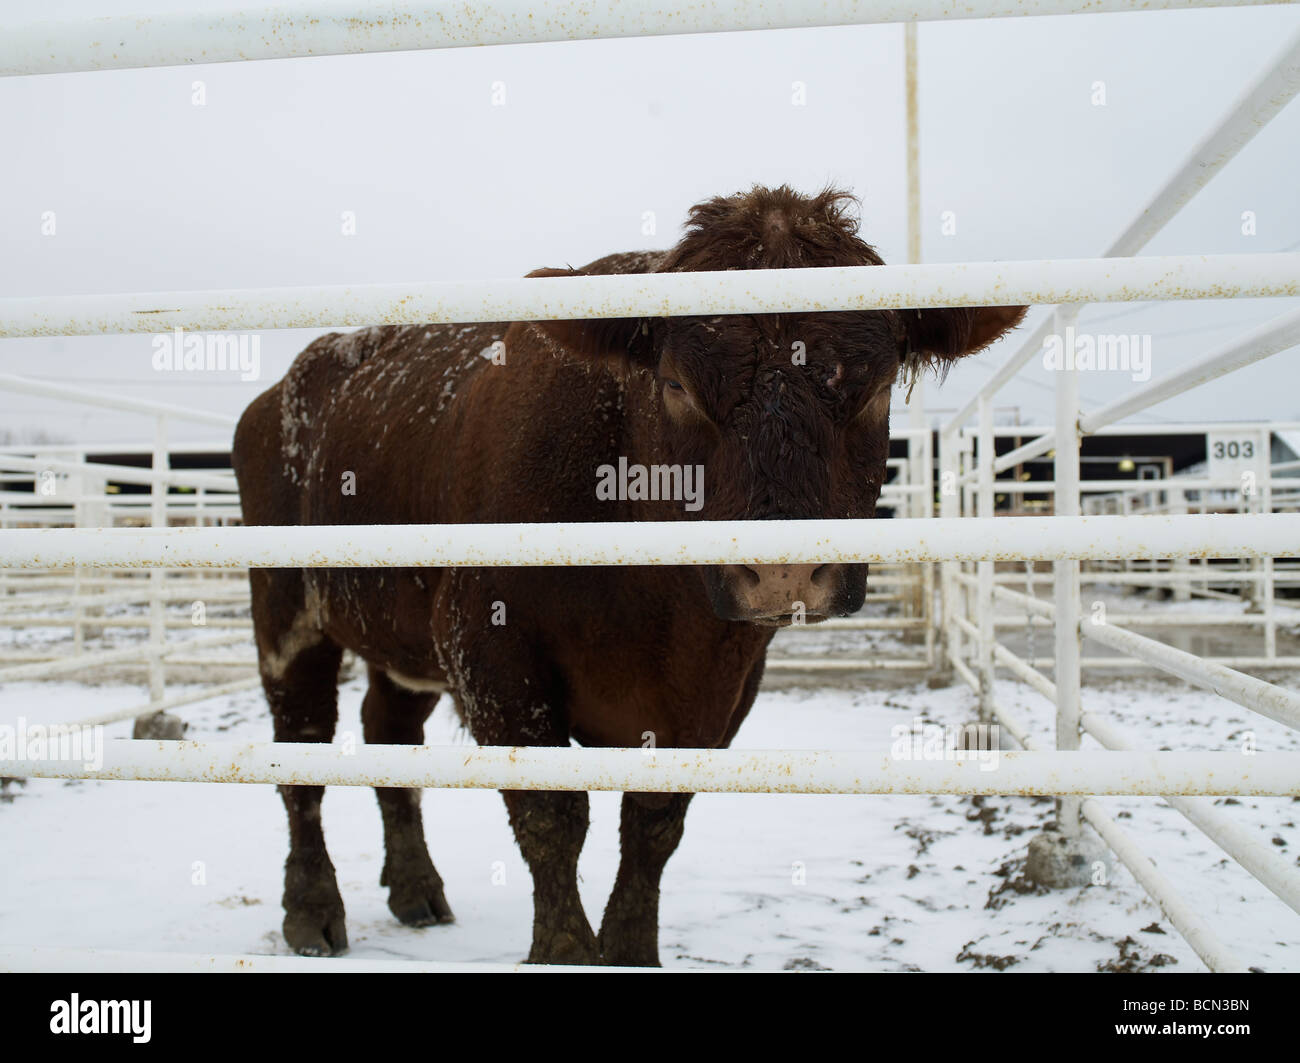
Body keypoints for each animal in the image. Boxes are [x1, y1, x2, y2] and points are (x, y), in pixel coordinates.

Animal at [231, 185, 1026, 965]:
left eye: (878, 385)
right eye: (675, 385)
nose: (785, 571)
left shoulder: (721, 685)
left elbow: (654, 822)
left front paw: (631, 947)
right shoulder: (488, 648)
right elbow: (552, 815)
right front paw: (564, 948)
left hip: (400, 639)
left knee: (388, 729)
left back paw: (416, 889)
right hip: (287, 615)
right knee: (302, 744)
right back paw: (311, 910)